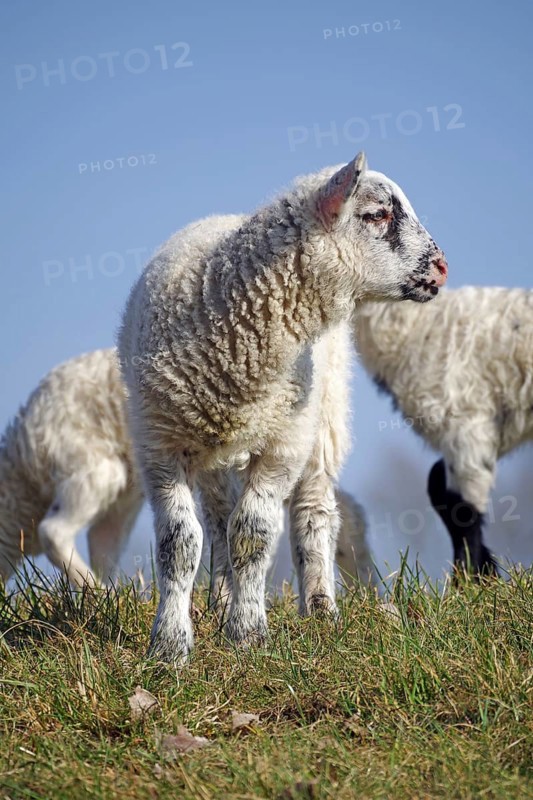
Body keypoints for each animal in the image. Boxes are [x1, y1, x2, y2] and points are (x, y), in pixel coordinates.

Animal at [118, 151, 448, 661]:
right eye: (377, 214)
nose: (442, 267)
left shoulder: (282, 445)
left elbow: (253, 535)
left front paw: (248, 635)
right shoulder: (159, 445)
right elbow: (180, 542)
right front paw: (170, 645)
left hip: (324, 420)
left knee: (313, 513)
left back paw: (320, 607)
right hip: (213, 449)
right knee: (217, 520)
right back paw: (220, 598)